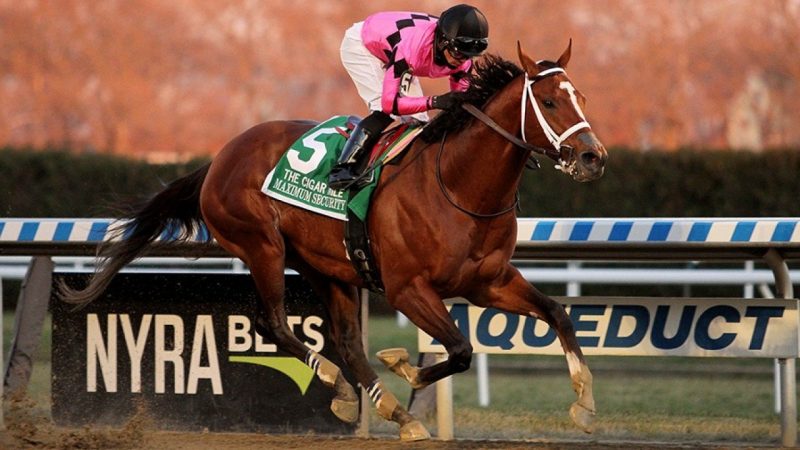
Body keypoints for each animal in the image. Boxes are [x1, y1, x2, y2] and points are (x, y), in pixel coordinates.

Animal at [61, 42, 607, 441]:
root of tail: (219, 158)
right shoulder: (407, 288)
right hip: (262, 246)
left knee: (345, 340)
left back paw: (384, 407)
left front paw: (584, 404)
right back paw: (344, 387)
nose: (593, 157)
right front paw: (404, 366)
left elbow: (556, 314)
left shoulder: (488, 281)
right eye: (551, 101)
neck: (457, 184)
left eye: (581, 97)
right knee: (274, 322)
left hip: (329, 268)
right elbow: (459, 348)